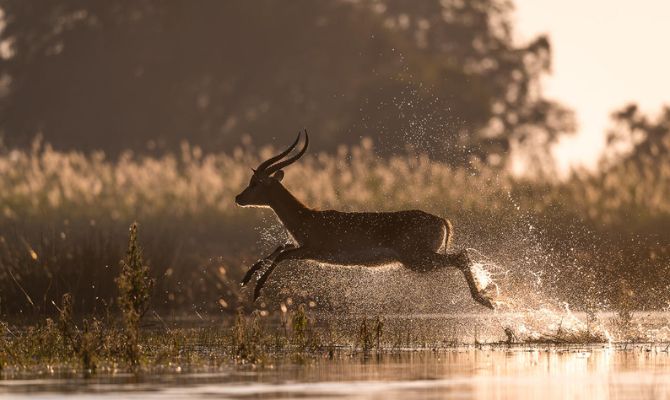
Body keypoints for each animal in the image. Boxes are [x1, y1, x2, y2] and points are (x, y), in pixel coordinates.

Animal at [235, 131, 494, 310]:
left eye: (256, 182)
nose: (238, 198)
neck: (306, 218)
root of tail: (441, 219)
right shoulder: (300, 245)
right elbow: (280, 247)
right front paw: (246, 279)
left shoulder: (312, 250)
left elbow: (282, 254)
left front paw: (257, 291)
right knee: (463, 256)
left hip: (417, 259)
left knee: (461, 257)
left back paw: (485, 301)